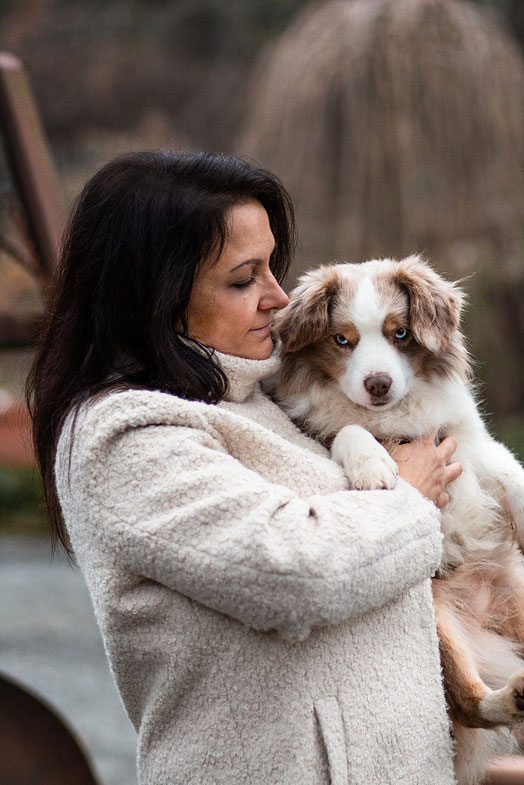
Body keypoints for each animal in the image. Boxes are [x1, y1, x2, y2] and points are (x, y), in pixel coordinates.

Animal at [270, 254, 524, 780]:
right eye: (341, 339)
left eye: (401, 333)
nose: (378, 384)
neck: (396, 418)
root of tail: (485, 614)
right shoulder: (323, 431)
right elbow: (351, 431)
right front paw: (372, 465)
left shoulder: (476, 448)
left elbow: (515, 482)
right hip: (433, 618)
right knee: (467, 702)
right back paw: (510, 697)